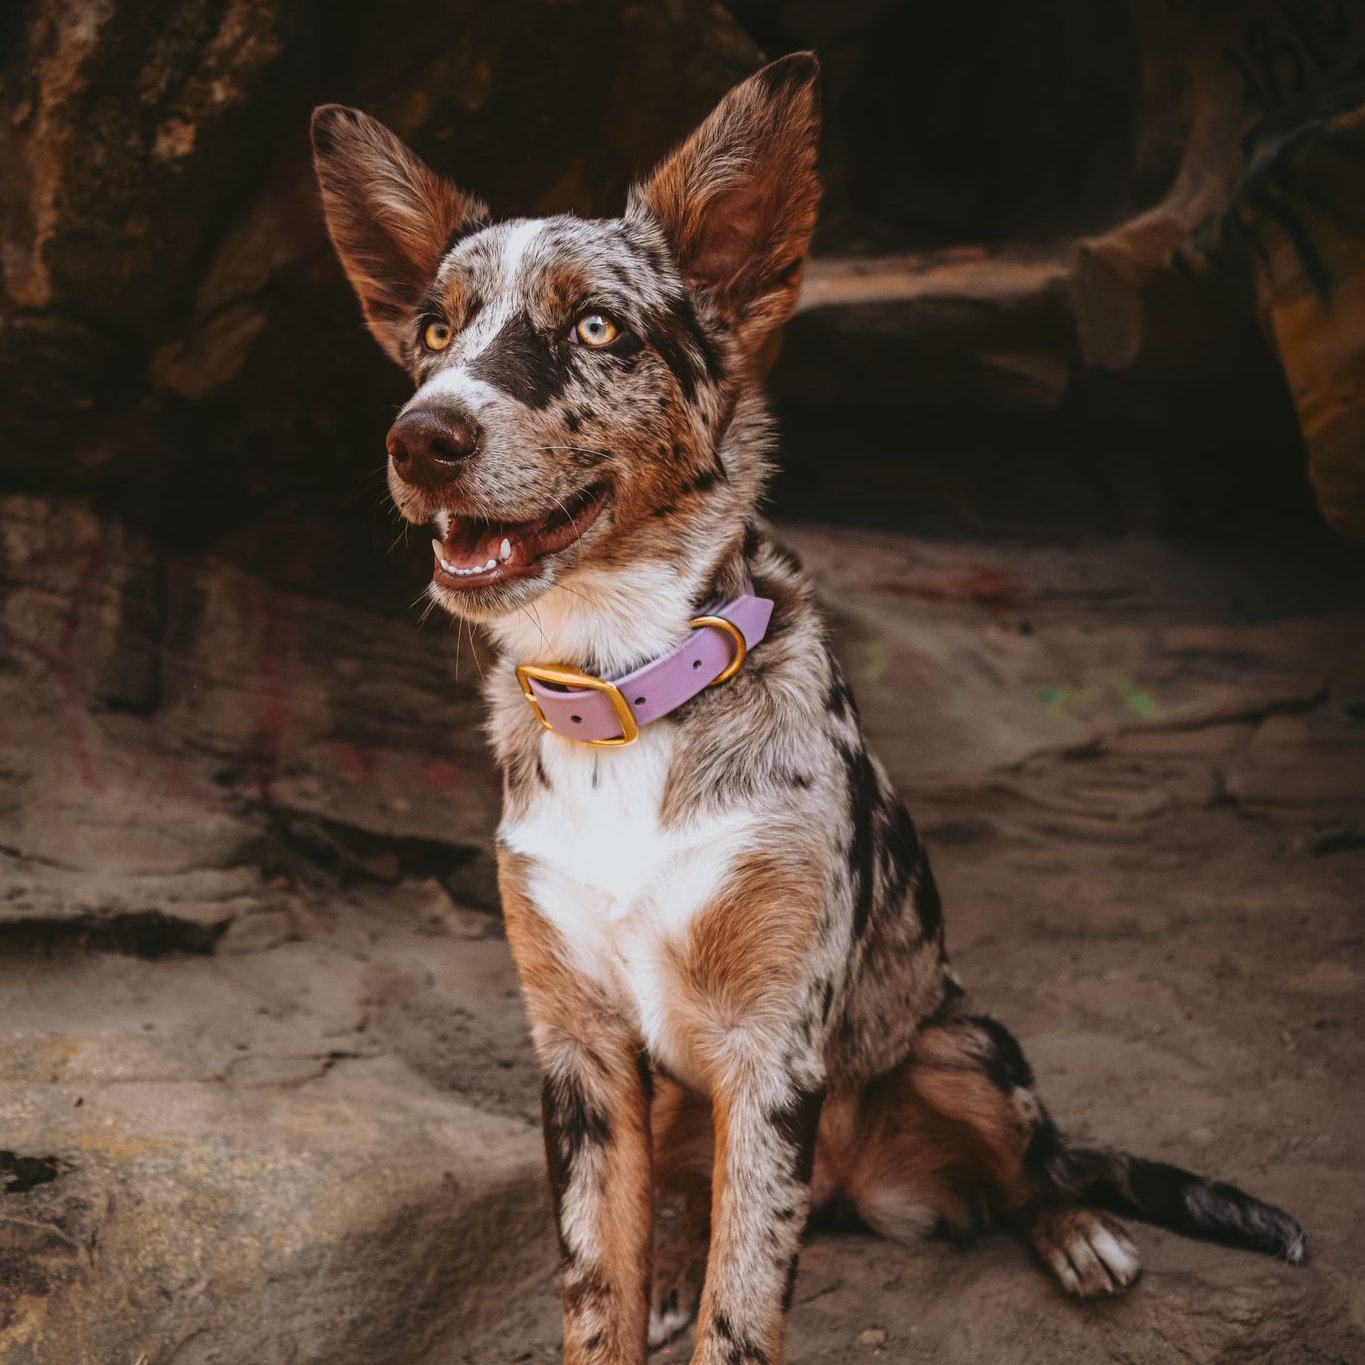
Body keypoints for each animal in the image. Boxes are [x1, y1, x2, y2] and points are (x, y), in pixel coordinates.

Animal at [309, 53, 1299, 1365]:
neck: (625, 691)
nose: (421, 437)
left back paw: (1079, 1232)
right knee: (692, 1204)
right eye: (434, 329)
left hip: (963, 1047)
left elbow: (743, 1312)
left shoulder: (772, 1049)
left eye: (596, 326)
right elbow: (595, 1291)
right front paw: (646, 1288)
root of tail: (848, 1182)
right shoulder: (578, 1053)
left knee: (1036, 1166)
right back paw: (676, 1261)